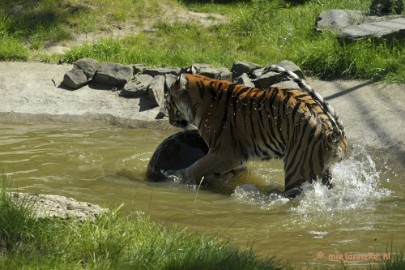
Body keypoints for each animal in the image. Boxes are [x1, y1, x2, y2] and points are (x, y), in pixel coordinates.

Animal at [164, 64, 348, 197]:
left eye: (168, 103)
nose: (170, 120)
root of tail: (331, 132)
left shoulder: (225, 153)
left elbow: (197, 167)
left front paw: (176, 176)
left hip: (297, 171)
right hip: (322, 171)